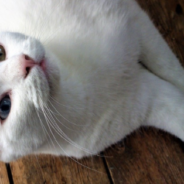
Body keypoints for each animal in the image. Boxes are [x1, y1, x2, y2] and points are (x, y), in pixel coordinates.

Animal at [0, 0, 183, 162]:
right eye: (4, 107)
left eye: (0, 53)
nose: (26, 63)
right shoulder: (149, 94)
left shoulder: (134, 19)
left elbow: (171, 69)